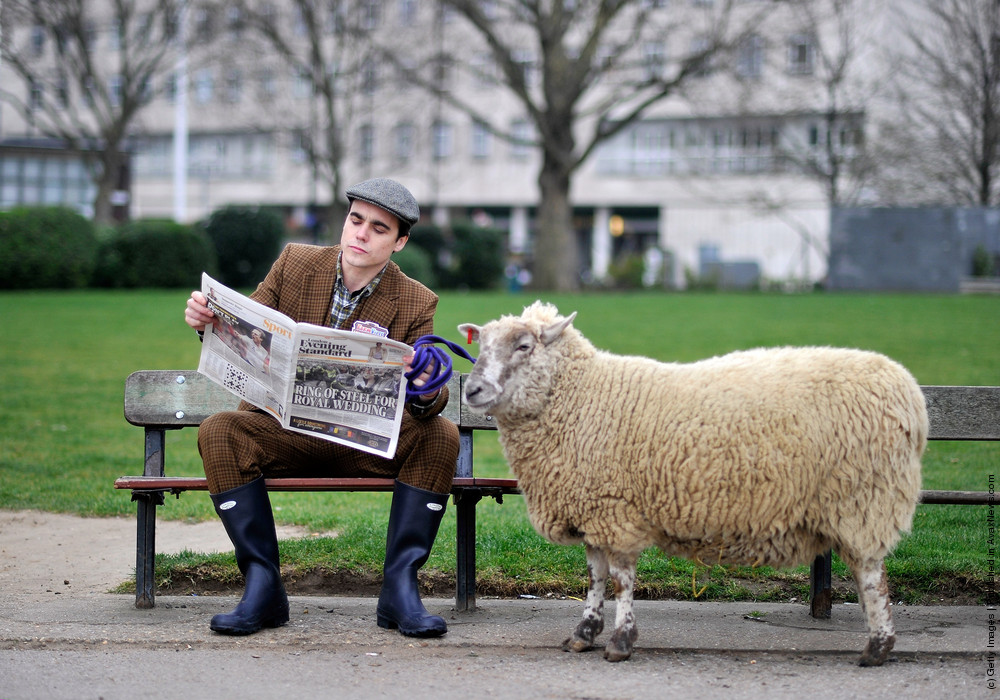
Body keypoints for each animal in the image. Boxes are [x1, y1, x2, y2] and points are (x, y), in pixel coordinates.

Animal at [458, 300, 924, 668]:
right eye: (481, 347)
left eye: (524, 346)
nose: (472, 390)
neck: (581, 398)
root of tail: (909, 394)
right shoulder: (595, 507)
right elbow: (594, 576)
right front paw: (584, 633)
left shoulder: (616, 509)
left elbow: (621, 579)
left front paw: (621, 642)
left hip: (864, 499)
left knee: (872, 577)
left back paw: (877, 648)